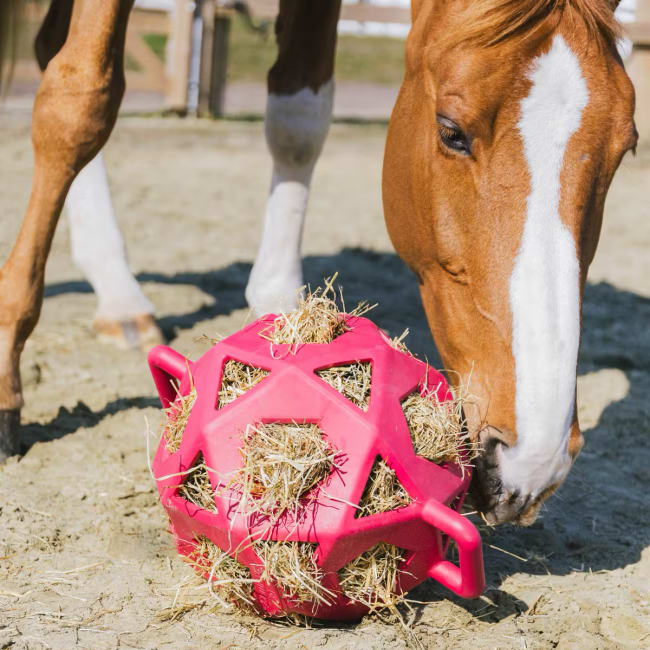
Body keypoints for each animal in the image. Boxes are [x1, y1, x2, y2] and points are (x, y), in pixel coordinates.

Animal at [0, 1, 637, 527]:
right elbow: (78, 104)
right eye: (451, 132)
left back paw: (118, 294)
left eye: (625, 149)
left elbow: (298, 117)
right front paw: (7, 361)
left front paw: (284, 312)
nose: (533, 461)